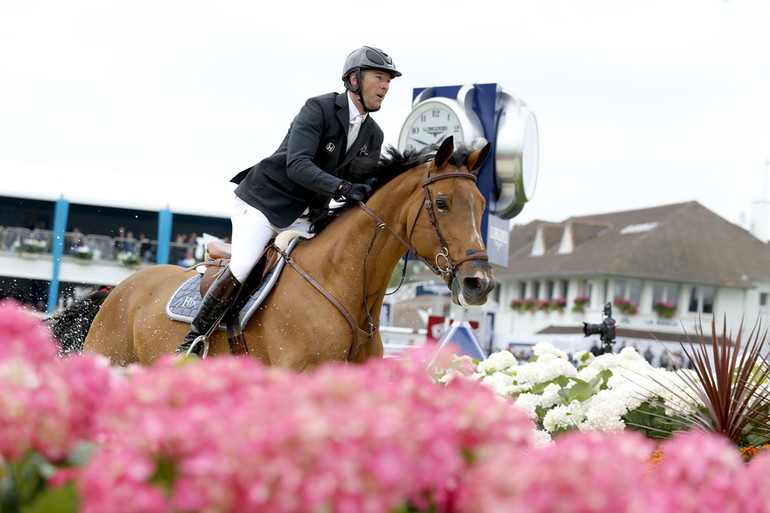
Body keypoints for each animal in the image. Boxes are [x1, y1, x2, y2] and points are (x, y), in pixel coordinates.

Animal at [57, 136, 496, 368]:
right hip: (109, 356)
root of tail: (119, 288)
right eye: (441, 203)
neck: (344, 285)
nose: (480, 283)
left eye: (482, 205)